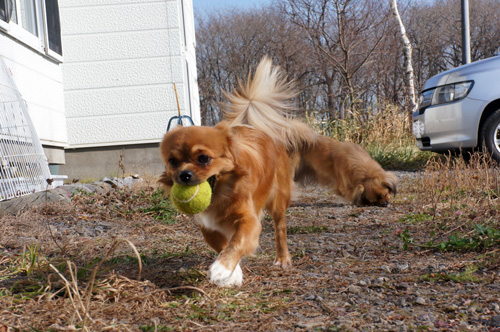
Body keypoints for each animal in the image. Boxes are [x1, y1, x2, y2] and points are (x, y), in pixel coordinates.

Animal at [158, 56, 314, 286]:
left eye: (203, 158)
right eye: (173, 162)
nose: (184, 175)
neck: (220, 195)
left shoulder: (249, 220)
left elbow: (237, 242)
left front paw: (222, 268)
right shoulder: (208, 228)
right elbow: (224, 245)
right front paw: (233, 273)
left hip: (278, 201)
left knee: (280, 230)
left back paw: (283, 259)